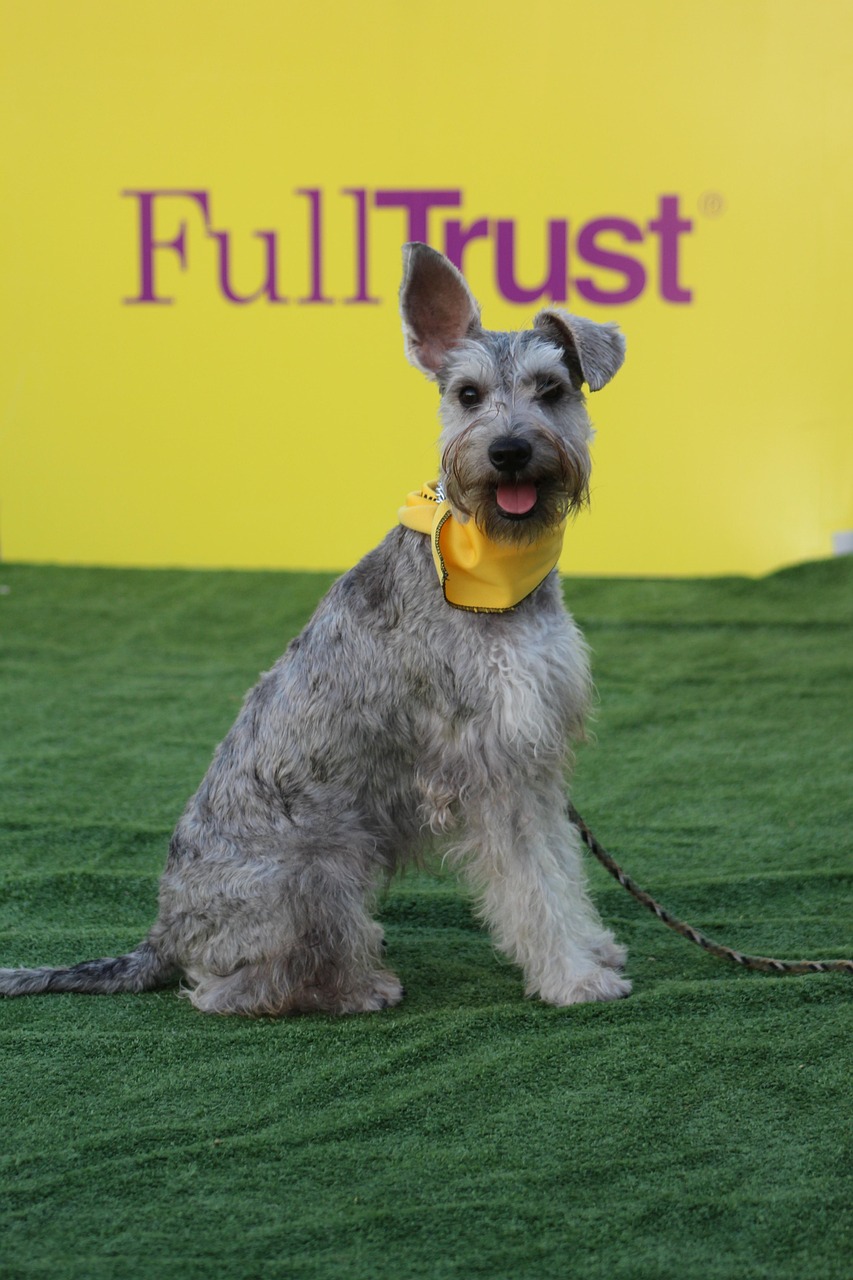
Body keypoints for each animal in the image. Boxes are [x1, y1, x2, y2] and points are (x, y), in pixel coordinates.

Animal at [0, 244, 625, 1013]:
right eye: (468, 395)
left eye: (551, 389)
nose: (508, 450)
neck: (492, 568)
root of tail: (163, 931)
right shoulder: (493, 766)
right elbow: (532, 886)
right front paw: (573, 976)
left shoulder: (534, 758)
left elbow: (559, 870)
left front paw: (592, 947)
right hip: (319, 877)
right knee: (232, 985)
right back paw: (359, 987)